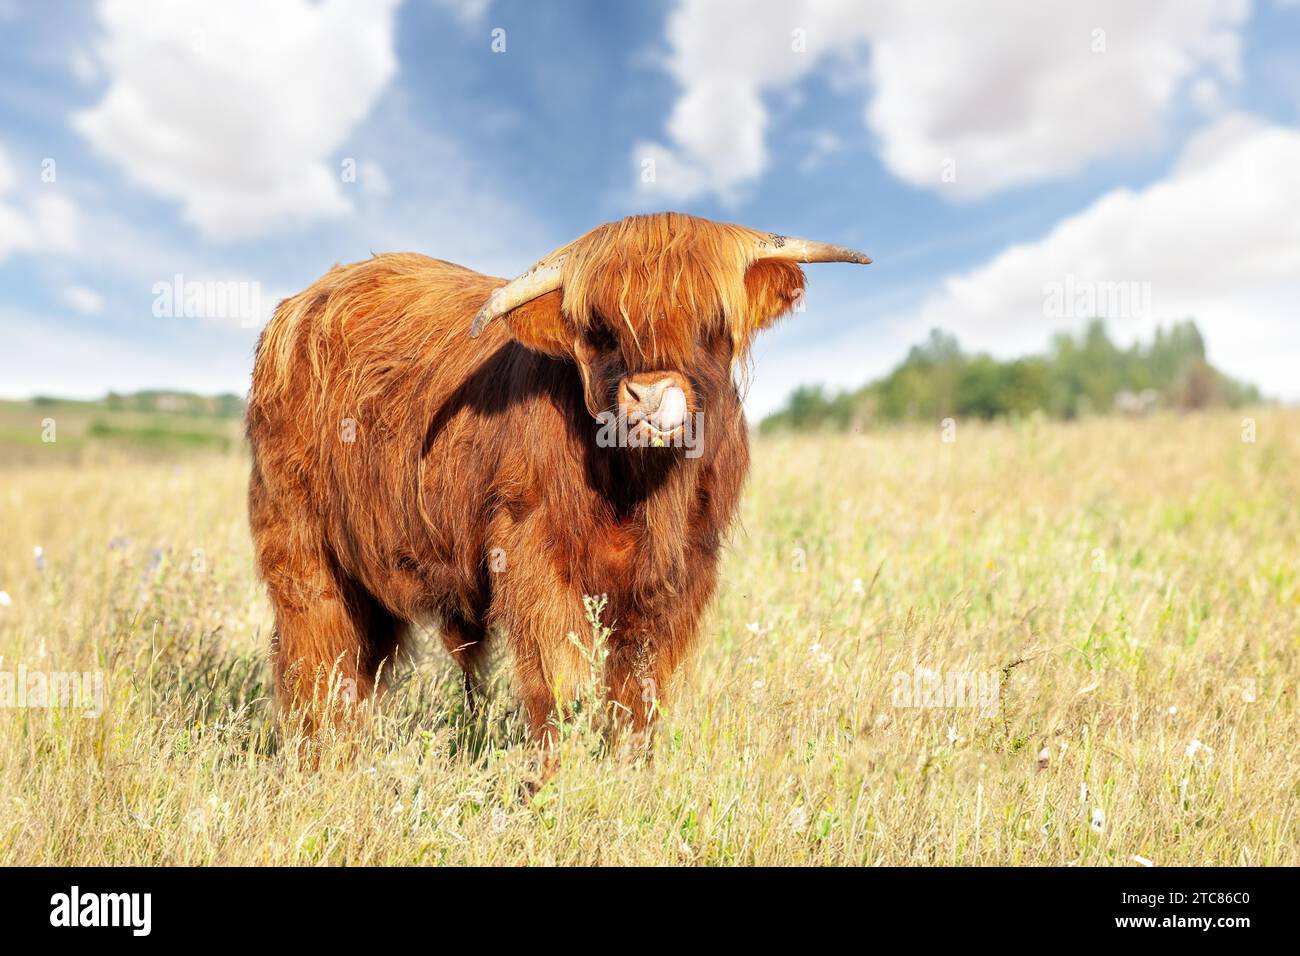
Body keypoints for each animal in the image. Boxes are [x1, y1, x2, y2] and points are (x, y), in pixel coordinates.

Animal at [245, 211, 869, 756]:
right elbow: (560, 683)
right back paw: (319, 762)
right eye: (600, 330)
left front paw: (628, 768)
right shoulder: (535, 553)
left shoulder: (684, 570)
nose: (649, 396)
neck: (641, 492)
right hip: (298, 540)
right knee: (316, 657)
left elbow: (639, 690)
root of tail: (308, 299)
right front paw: (552, 778)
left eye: (713, 323)